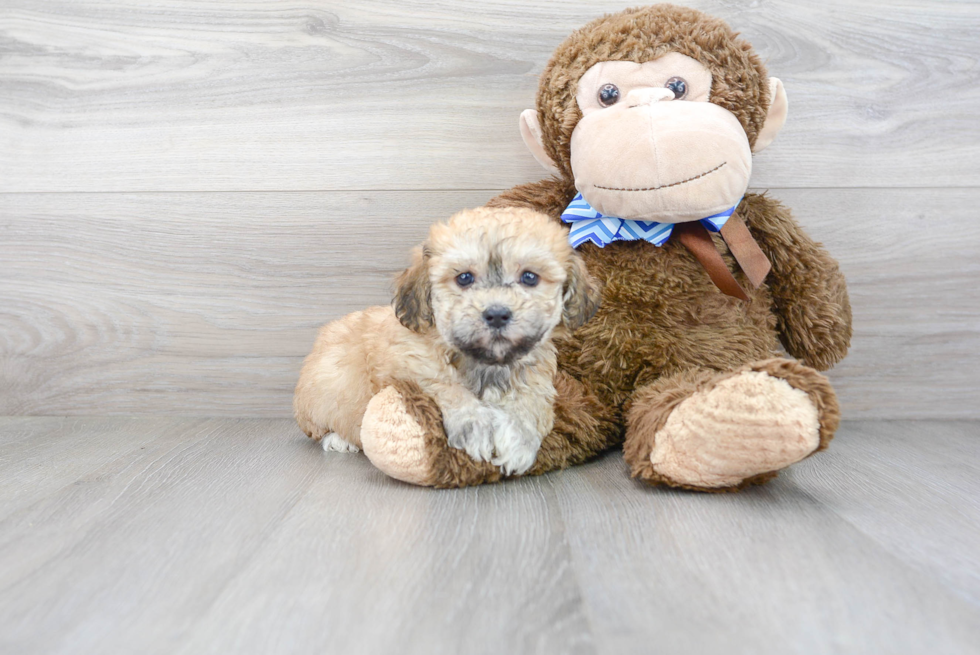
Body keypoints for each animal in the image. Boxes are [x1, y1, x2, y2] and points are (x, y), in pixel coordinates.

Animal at [292, 208, 596, 474]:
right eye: (464, 278)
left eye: (530, 277)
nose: (497, 314)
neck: (487, 362)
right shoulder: (410, 362)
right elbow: (447, 385)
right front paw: (475, 427)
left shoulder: (537, 377)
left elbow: (531, 406)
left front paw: (518, 441)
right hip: (327, 386)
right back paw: (339, 439)